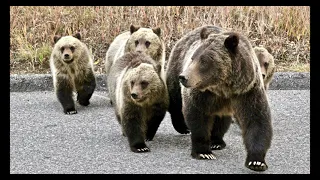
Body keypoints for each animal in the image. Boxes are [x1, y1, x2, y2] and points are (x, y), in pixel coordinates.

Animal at [166, 25, 274, 172]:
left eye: (204, 61)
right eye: (193, 58)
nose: (184, 77)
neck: (222, 87)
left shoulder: (247, 91)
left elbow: (257, 120)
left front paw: (257, 161)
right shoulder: (202, 94)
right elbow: (197, 116)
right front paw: (204, 152)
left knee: (221, 119)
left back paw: (217, 141)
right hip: (176, 64)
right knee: (175, 100)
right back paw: (183, 127)